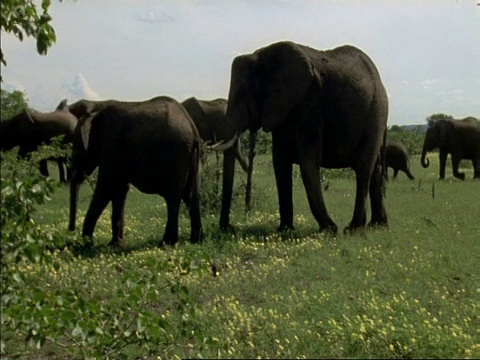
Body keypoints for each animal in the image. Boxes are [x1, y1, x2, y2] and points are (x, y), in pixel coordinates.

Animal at [66, 95, 204, 248]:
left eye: (77, 147)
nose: (71, 231)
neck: (96, 109)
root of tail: (193, 128)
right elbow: (119, 189)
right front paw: (115, 244)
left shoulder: (112, 144)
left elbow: (106, 187)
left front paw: (85, 245)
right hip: (192, 157)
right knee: (191, 194)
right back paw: (196, 240)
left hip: (176, 154)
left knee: (173, 197)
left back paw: (166, 243)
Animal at [212, 41, 388, 233]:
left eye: (244, 94)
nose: (228, 228)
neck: (262, 56)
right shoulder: (282, 108)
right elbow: (280, 161)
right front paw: (284, 230)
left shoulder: (310, 101)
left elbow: (308, 158)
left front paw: (329, 229)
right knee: (375, 167)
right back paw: (377, 225)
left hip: (376, 111)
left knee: (364, 167)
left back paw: (353, 229)